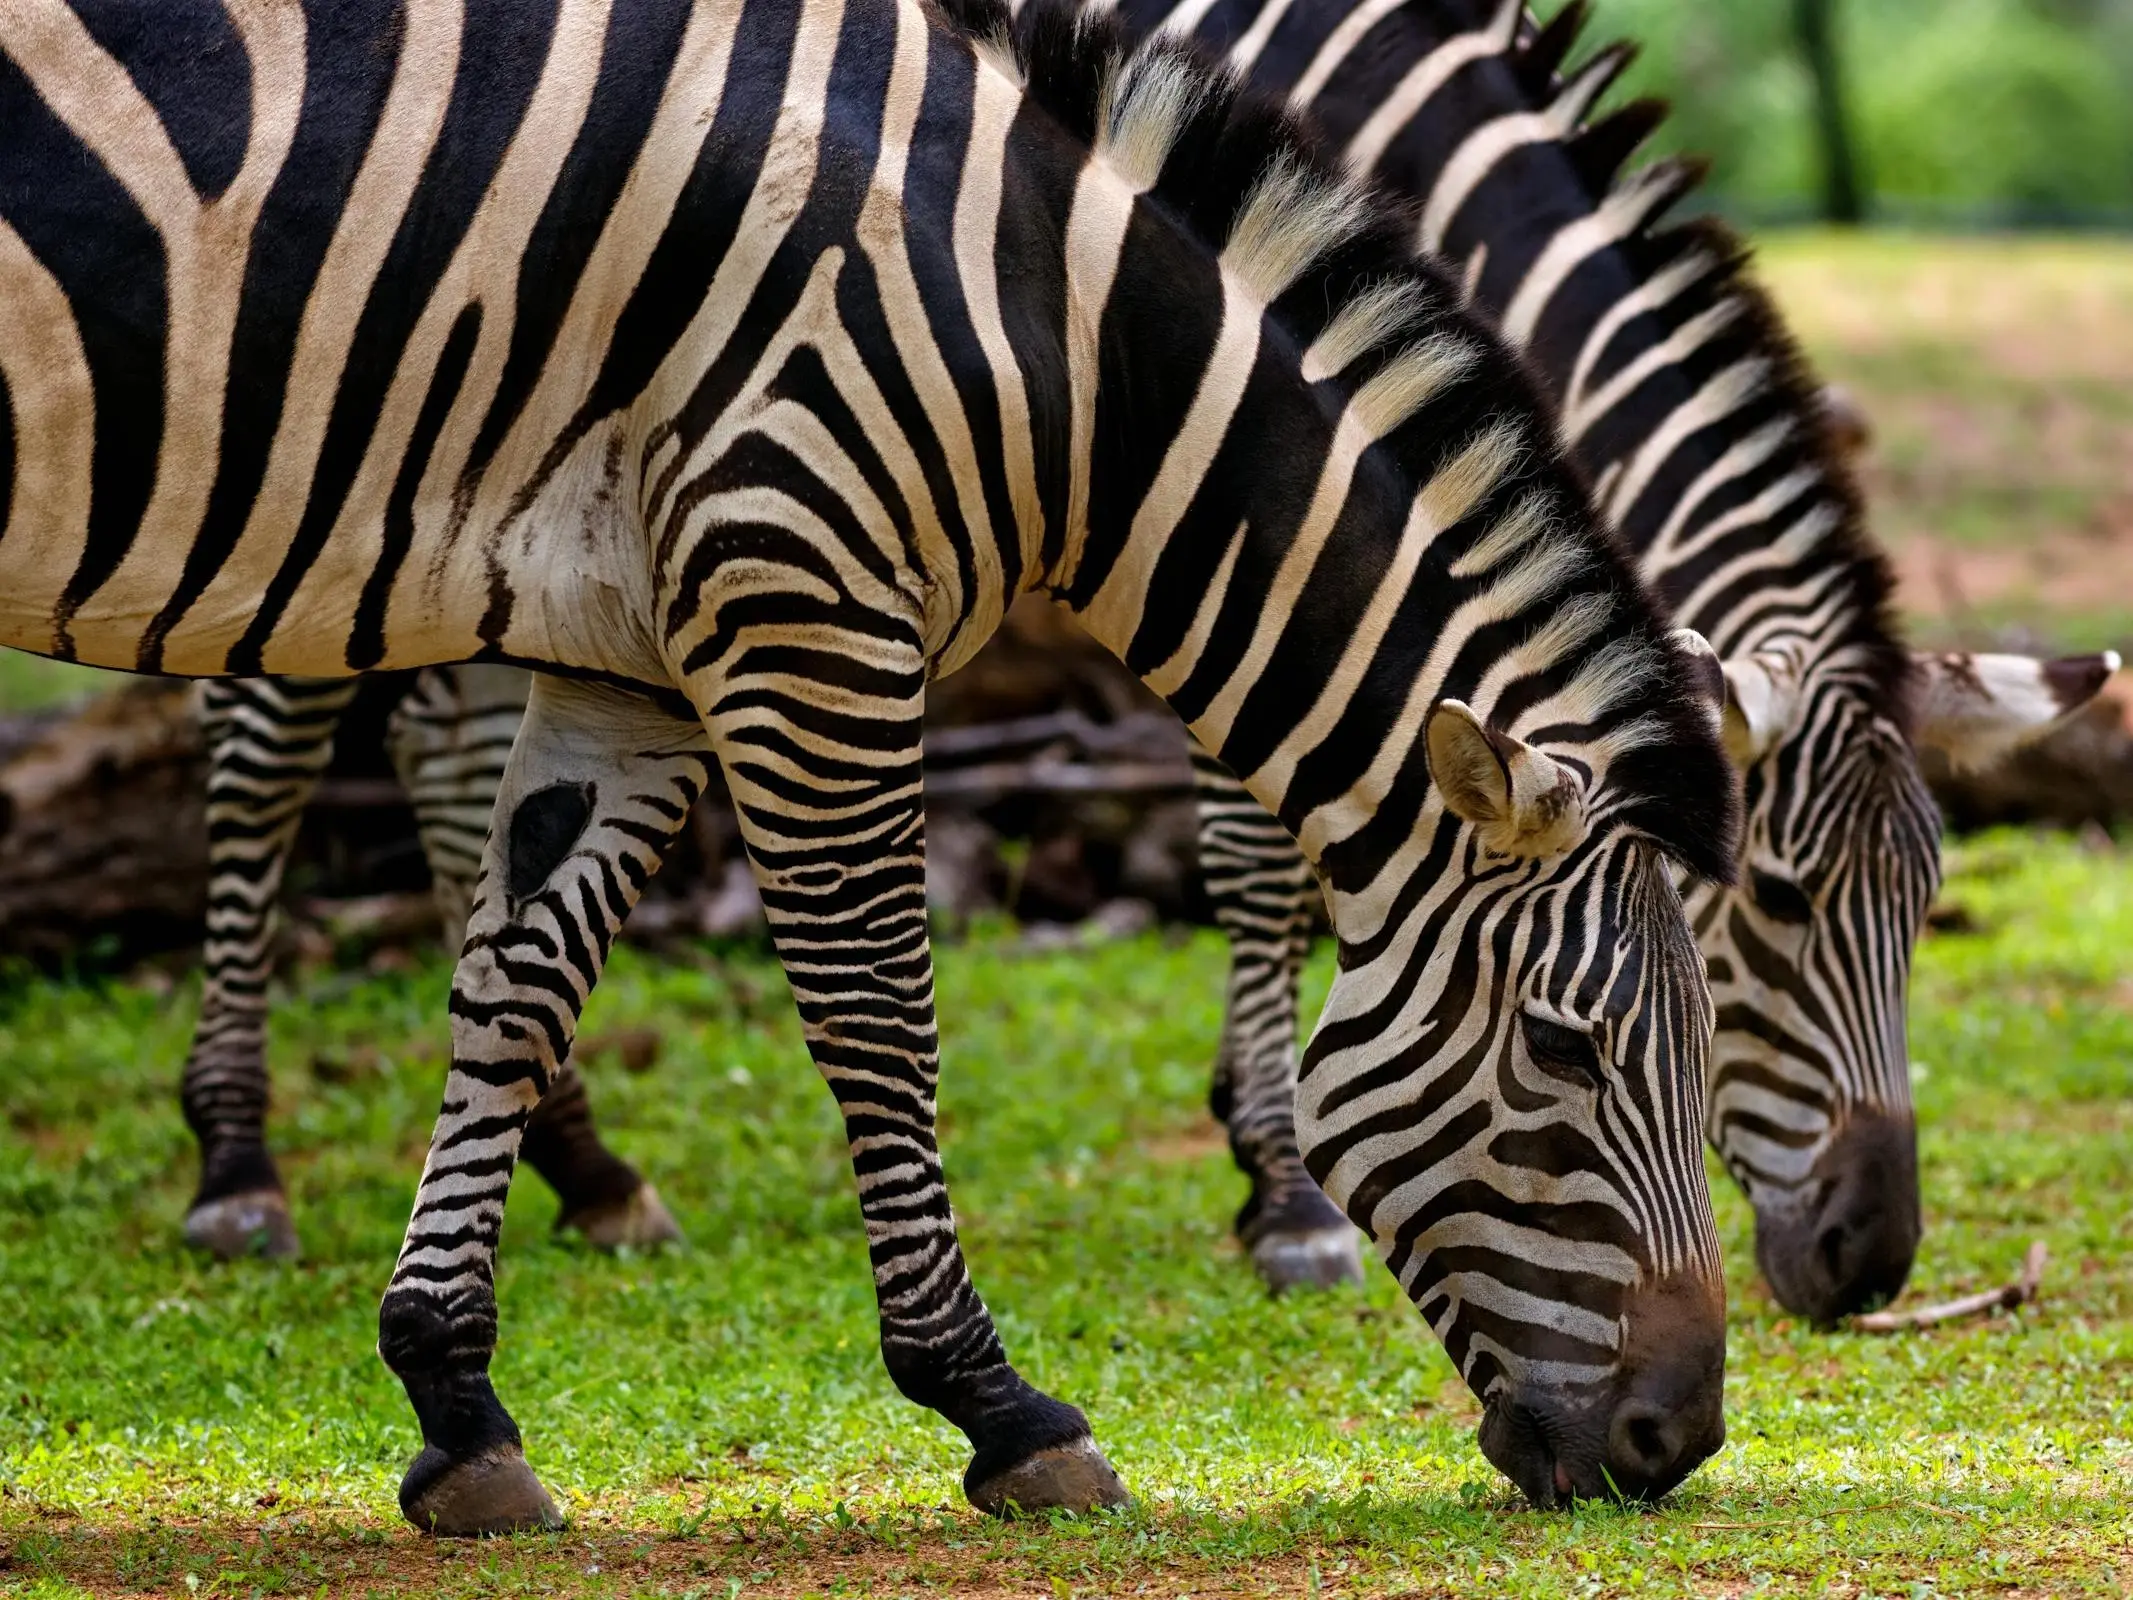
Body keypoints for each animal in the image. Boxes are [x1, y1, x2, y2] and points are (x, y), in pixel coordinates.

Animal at [1109, 0, 2124, 1322]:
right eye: (1779, 899)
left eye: (1925, 903)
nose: (1870, 1264)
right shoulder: (1232, 532)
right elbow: (1261, 858)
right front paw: (1290, 1197)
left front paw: (1253, 1121)